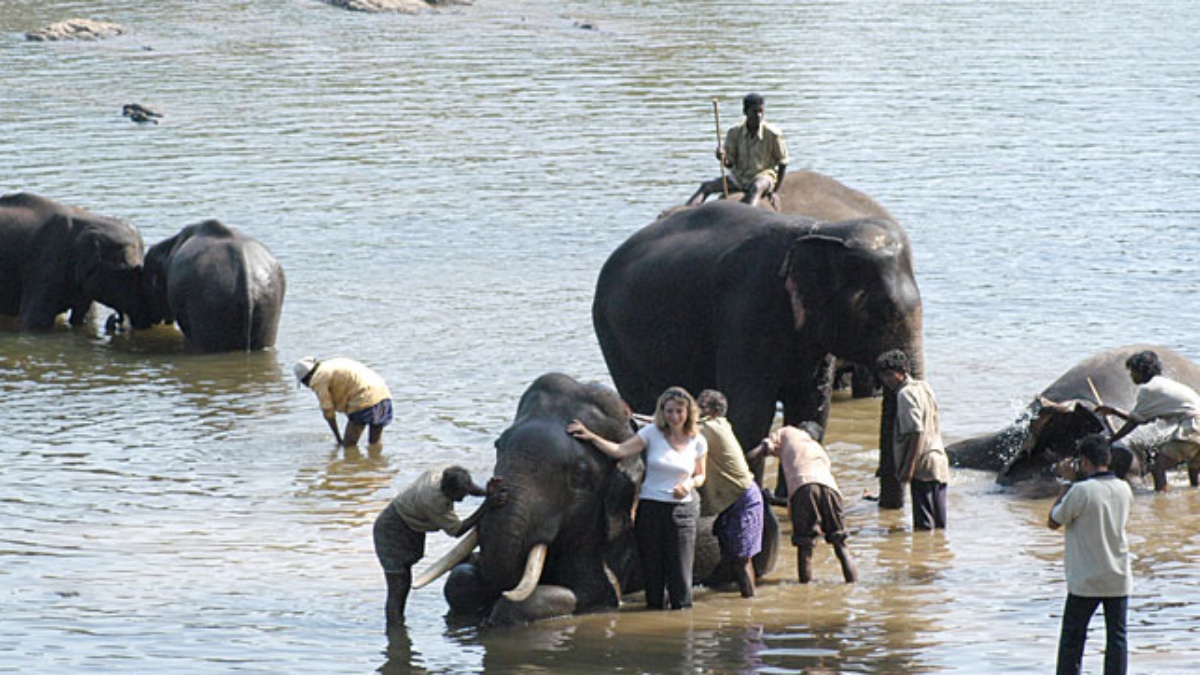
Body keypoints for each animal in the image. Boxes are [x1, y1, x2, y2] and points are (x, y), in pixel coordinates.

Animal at [0, 192, 153, 331]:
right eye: (129, 275)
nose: (114, 318)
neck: (92, 221)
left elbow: (83, 318)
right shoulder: (46, 262)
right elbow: (36, 319)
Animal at [421, 373, 779, 626]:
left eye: (579, 475)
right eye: (498, 445)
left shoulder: (613, 528)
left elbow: (593, 591)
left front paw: (498, 612)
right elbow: (459, 582)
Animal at [594, 199, 924, 507]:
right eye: (881, 312)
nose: (877, 500)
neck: (822, 230)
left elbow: (812, 405)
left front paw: (786, 496)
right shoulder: (749, 309)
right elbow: (751, 413)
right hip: (614, 337)